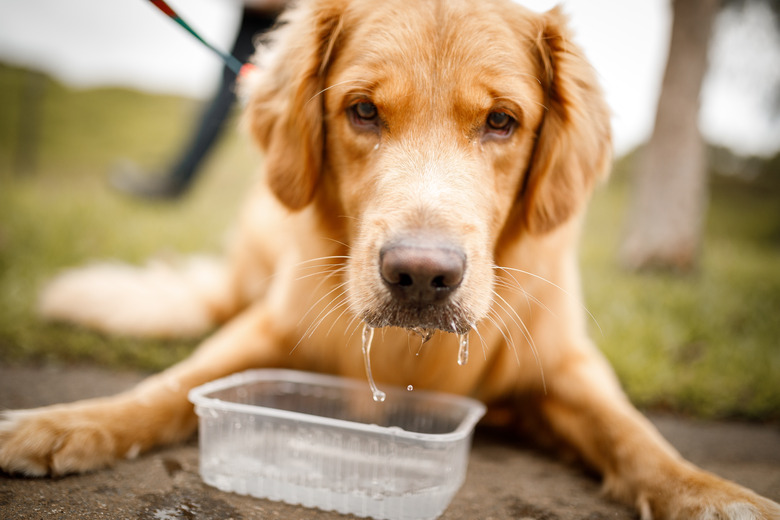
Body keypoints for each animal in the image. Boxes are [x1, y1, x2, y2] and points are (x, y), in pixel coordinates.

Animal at [1, 1, 780, 520]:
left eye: (502, 121)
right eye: (364, 111)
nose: (421, 277)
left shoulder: (567, 364)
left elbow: (638, 436)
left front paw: (717, 495)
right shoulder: (269, 327)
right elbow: (166, 387)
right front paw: (60, 424)